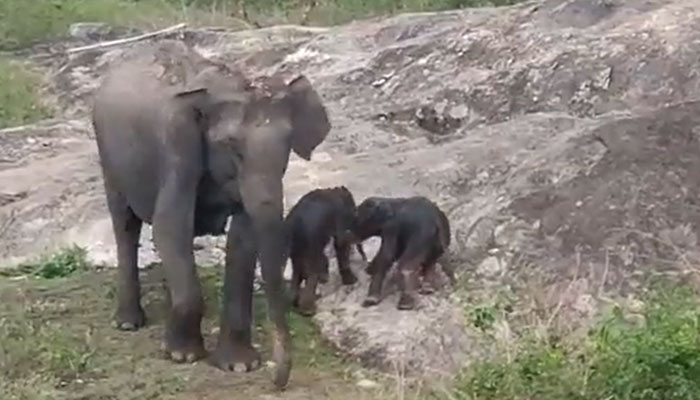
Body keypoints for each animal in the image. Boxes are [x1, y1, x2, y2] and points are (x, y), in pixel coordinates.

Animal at [91, 40, 330, 389]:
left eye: (288, 145)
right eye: (232, 147)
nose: (278, 382)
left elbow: (243, 238)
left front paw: (240, 365)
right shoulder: (176, 149)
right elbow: (169, 225)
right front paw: (182, 355)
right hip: (108, 156)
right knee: (125, 225)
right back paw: (128, 322)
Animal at [285, 186, 366, 316]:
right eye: (355, 212)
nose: (365, 259)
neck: (335, 190)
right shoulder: (340, 216)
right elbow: (341, 242)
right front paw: (352, 281)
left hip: (295, 246)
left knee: (298, 271)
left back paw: (295, 302)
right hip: (310, 241)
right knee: (311, 271)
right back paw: (308, 310)